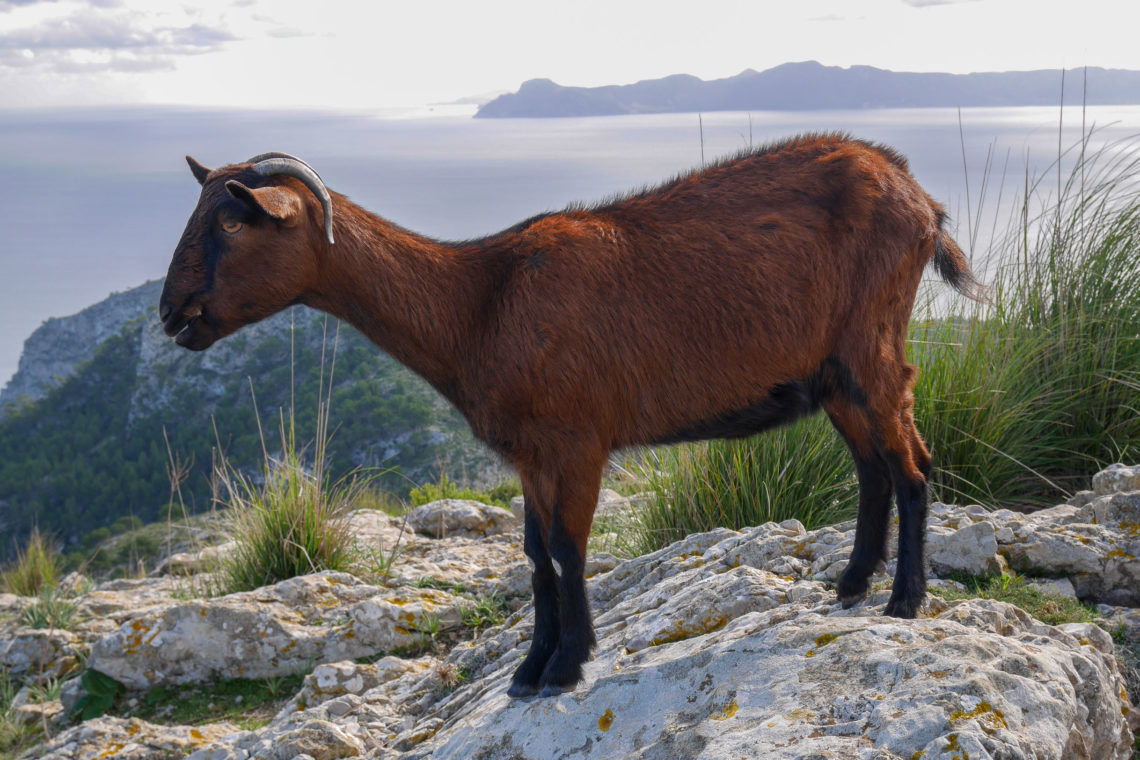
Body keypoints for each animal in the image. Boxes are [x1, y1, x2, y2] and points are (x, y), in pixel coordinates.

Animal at [160, 135, 980, 697]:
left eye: (233, 225)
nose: (172, 314)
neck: (480, 302)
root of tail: (917, 194)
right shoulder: (530, 453)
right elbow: (532, 555)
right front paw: (530, 667)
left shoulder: (580, 438)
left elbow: (567, 548)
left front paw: (567, 664)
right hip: (833, 374)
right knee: (874, 467)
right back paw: (851, 585)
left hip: (872, 341)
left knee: (912, 463)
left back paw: (904, 599)